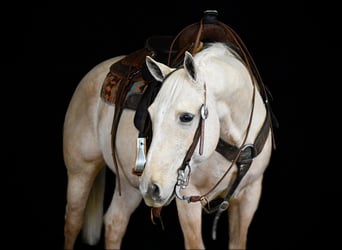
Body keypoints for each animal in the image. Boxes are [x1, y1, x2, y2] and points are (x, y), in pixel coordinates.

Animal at [62, 11, 276, 250]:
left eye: (187, 117)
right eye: (151, 114)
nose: (152, 187)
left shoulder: (249, 195)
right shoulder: (189, 199)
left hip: (129, 185)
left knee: (114, 222)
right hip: (81, 172)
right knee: (73, 222)